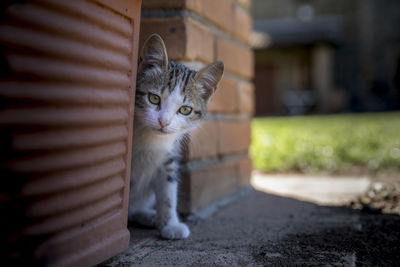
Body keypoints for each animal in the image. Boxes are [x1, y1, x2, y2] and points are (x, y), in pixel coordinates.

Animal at [128, 34, 223, 241]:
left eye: (185, 109)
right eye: (154, 98)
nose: (163, 122)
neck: (149, 139)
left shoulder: (169, 157)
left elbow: (168, 189)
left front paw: (170, 224)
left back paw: (146, 214)